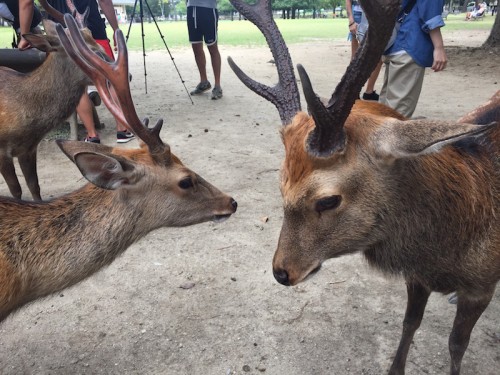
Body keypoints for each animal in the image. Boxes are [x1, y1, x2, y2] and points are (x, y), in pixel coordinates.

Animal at [229, 0, 498, 375]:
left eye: (328, 200)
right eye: (280, 185)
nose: (281, 272)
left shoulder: (481, 286)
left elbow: (457, 345)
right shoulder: (417, 277)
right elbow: (409, 323)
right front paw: (394, 368)